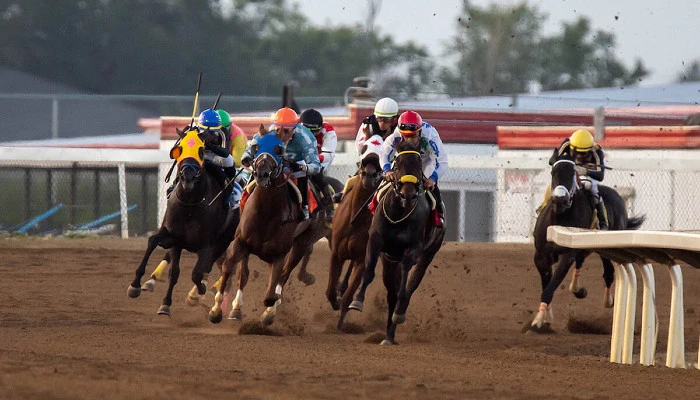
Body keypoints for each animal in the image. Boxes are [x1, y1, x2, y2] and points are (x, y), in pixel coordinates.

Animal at [127, 128, 239, 315]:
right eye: (179, 148)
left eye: (201, 150)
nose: (187, 177)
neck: (190, 206)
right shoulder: (174, 238)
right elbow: (163, 257)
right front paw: (141, 289)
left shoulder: (206, 246)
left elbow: (197, 274)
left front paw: (198, 291)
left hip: (224, 240)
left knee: (208, 267)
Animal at [208, 128, 333, 325]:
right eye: (256, 147)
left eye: (279, 150)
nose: (262, 174)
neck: (265, 213)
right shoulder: (241, 242)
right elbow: (231, 269)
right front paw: (217, 310)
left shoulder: (279, 253)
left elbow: (272, 289)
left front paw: (269, 311)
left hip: (302, 242)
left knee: (285, 274)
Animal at [326, 136, 385, 329]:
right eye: (364, 149)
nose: (369, 174)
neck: (356, 220)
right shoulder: (336, 254)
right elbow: (330, 290)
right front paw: (335, 299)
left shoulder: (362, 259)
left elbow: (348, 297)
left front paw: (339, 324)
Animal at [350, 140, 445, 345]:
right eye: (398, 162)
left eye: (418, 164)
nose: (407, 195)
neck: (399, 214)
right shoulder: (375, 241)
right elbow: (369, 272)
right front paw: (357, 301)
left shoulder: (413, 250)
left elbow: (404, 288)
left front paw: (399, 314)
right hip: (390, 259)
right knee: (391, 292)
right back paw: (388, 335)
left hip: (428, 254)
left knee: (410, 286)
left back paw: (395, 321)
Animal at [529, 159, 645, 333]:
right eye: (553, 173)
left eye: (573, 174)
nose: (560, 199)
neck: (560, 218)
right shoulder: (541, 255)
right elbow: (547, 284)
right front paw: (546, 317)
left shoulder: (567, 254)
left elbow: (551, 285)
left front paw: (537, 321)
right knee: (581, 263)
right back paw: (577, 289)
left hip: (606, 248)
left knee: (608, 273)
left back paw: (607, 300)